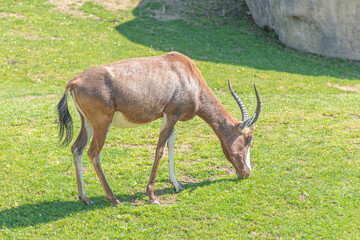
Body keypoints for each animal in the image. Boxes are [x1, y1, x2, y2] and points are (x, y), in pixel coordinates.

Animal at [58, 51, 262, 205]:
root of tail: (73, 82)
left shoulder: (170, 117)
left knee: (77, 148)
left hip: (87, 123)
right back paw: (114, 199)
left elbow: (171, 144)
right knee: (93, 152)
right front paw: (152, 196)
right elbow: (160, 150)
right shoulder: (171, 114)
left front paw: (177, 185)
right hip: (102, 124)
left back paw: (84, 197)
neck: (185, 72)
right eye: (249, 138)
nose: (246, 173)